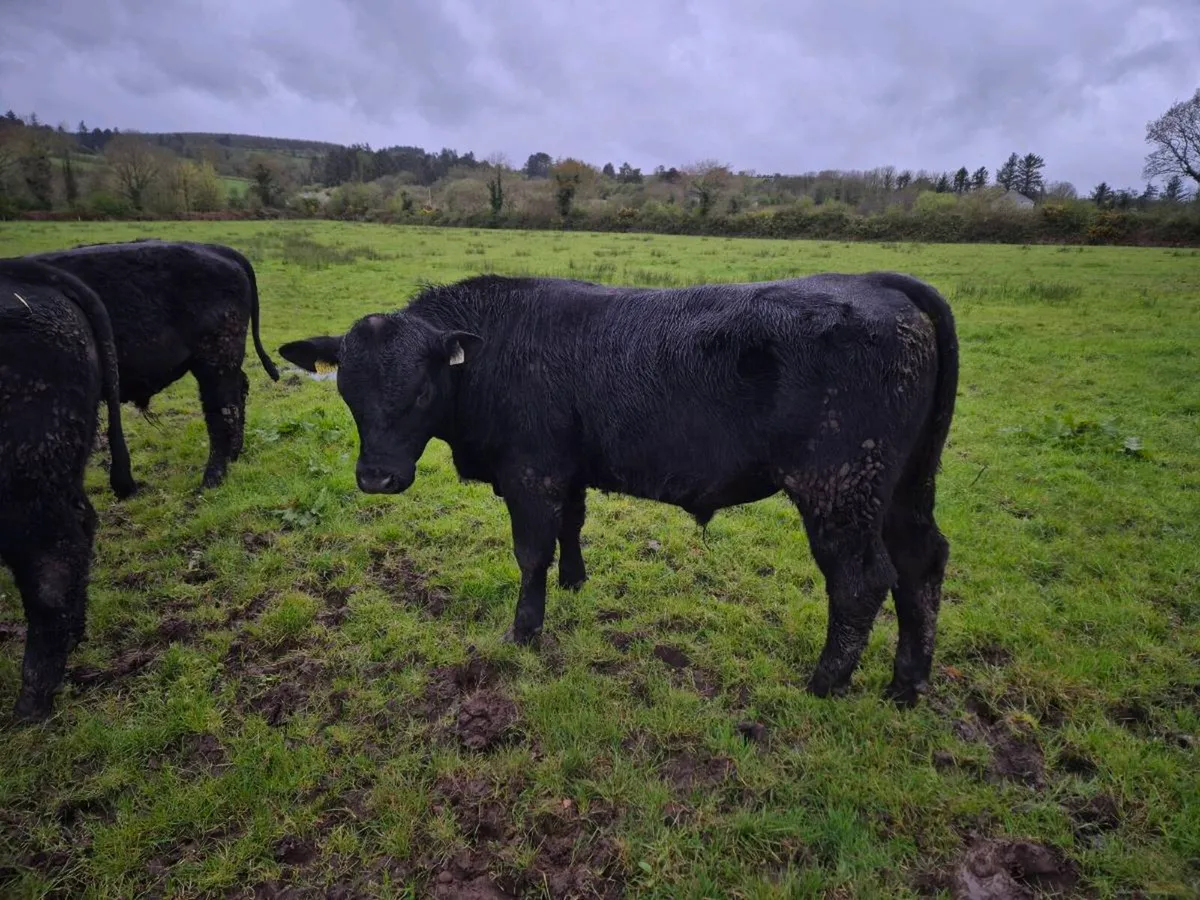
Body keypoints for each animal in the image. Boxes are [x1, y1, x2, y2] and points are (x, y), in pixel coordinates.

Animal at [279, 272, 958, 706]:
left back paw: (824, 684)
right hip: (904, 487)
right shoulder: (568, 471)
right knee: (921, 563)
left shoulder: (531, 473)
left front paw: (525, 631)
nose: (377, 478)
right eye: (347, 391)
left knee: (861, 581)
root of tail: (876, 283)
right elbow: (571, 528)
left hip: (839, 488)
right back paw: (906, 686)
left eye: (420, 391)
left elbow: (531, 553)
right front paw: (575, 584)